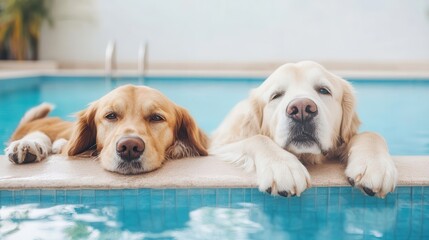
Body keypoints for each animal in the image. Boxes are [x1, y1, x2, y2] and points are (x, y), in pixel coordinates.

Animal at [211, 61, 398, 198]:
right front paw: (283, 166)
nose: (301, 109)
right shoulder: (219, 147)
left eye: (324, 90)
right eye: (276, 95)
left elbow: (371, 134)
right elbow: (258, 138)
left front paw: (375, 164)